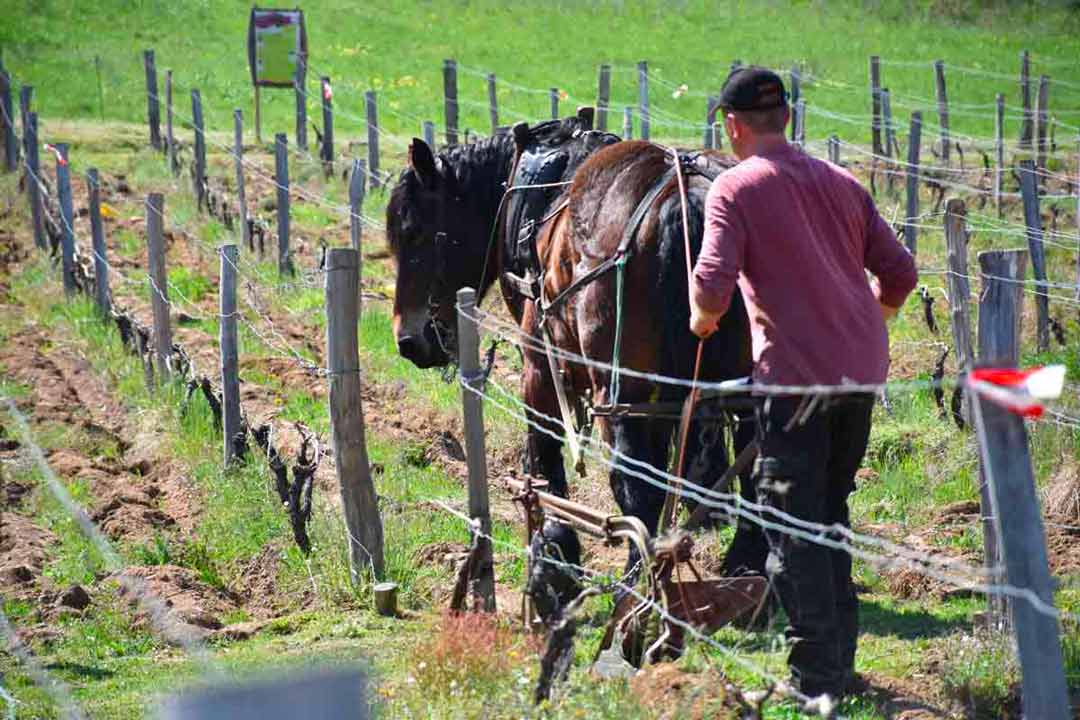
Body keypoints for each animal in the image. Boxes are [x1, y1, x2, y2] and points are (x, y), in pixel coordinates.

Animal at [388, 119, 760, 608]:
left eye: (414, 231)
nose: (408, 341)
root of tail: (687, 199)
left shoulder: (539, 368)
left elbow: (544, 462)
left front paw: (554, 558)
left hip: (621, 393)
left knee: (636, 488)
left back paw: (634, 587)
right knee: (752, 473)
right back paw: (745, 568)